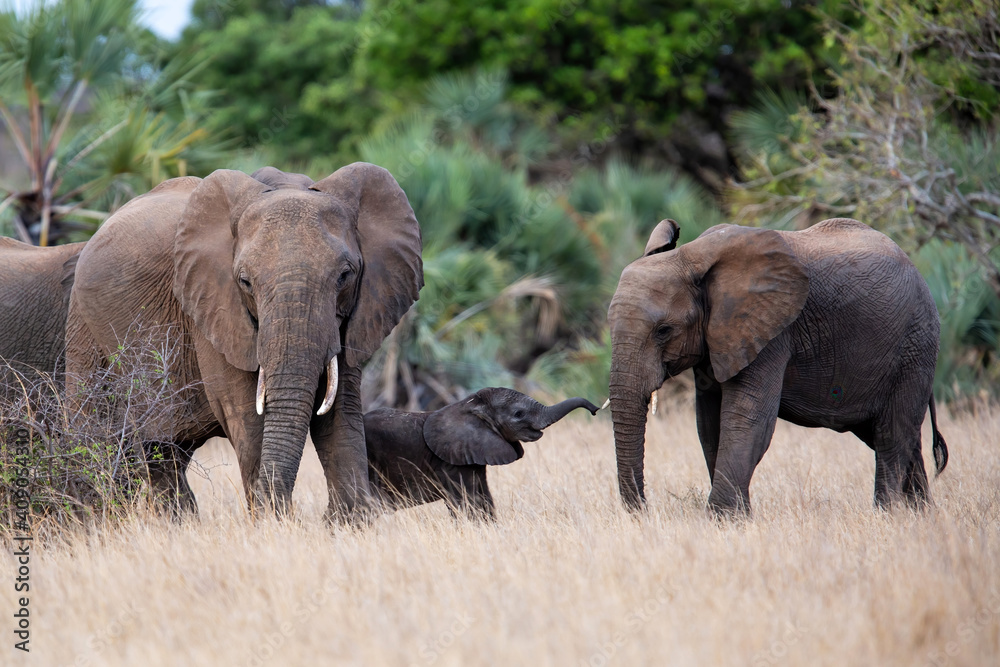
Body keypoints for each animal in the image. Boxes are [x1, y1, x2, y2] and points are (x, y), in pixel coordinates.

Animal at [64, 163, 423, 518]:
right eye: (245, 281)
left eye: (345, 276)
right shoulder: (212, 309)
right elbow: (248, 416)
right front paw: (273, 522)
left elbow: (340, 410)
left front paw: (349, 521)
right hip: (84, 329)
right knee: (104, 439)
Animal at [363, 388, 600, 518]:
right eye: (518, 414)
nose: (596, 410)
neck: (470, 404)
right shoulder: (450, 462)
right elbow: (468, 501)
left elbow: (484, 497)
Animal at [608, 217, 948, 516]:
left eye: (664, 330)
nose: (644, 512)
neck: (691, 256)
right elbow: (709, 424)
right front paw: (738, 518)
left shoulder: (771, 334)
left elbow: (748, 420)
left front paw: (722, 520)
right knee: (897, 437)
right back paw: (920, 516)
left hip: (915, 346)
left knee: (891, 435)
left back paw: (886, 516)